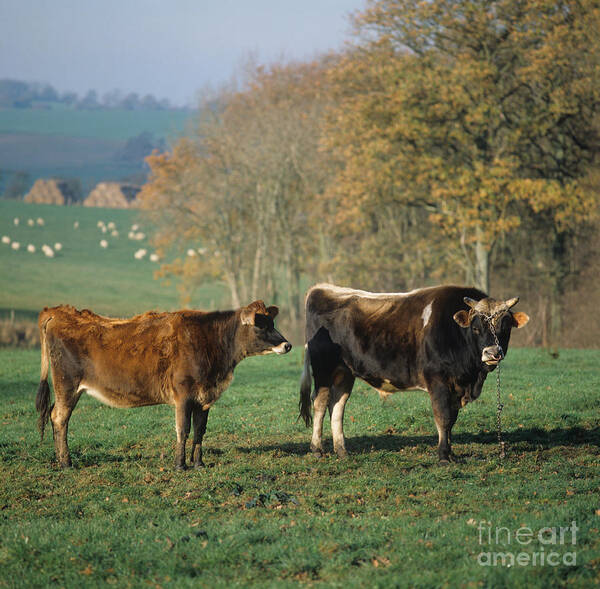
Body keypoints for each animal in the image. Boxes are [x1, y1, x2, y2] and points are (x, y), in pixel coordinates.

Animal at [36, 300, 292, 466]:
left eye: (272, 322)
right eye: (260, 324)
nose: (287, 344)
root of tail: (56, 312)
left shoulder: (204, 398)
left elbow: (200, 430)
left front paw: (198, 463)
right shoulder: (184, 395)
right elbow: (183, 429)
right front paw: (180, 464)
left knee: (54, 415)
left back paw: (60, 460)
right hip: (67, 386)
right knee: (59, 417)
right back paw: (66, 462)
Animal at [298, 282, 528, 462]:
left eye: (505, 327)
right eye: (476, 327)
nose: (492, 353)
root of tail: (323, 288)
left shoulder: (455, 387)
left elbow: (452, 420)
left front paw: (451, 453)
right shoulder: (438, 381)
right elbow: (443, 417)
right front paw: (443, 456)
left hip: (344, 372)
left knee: (337, 405)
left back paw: (342, 450)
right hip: (323, 369)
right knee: (320, 403)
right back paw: (317, 449)